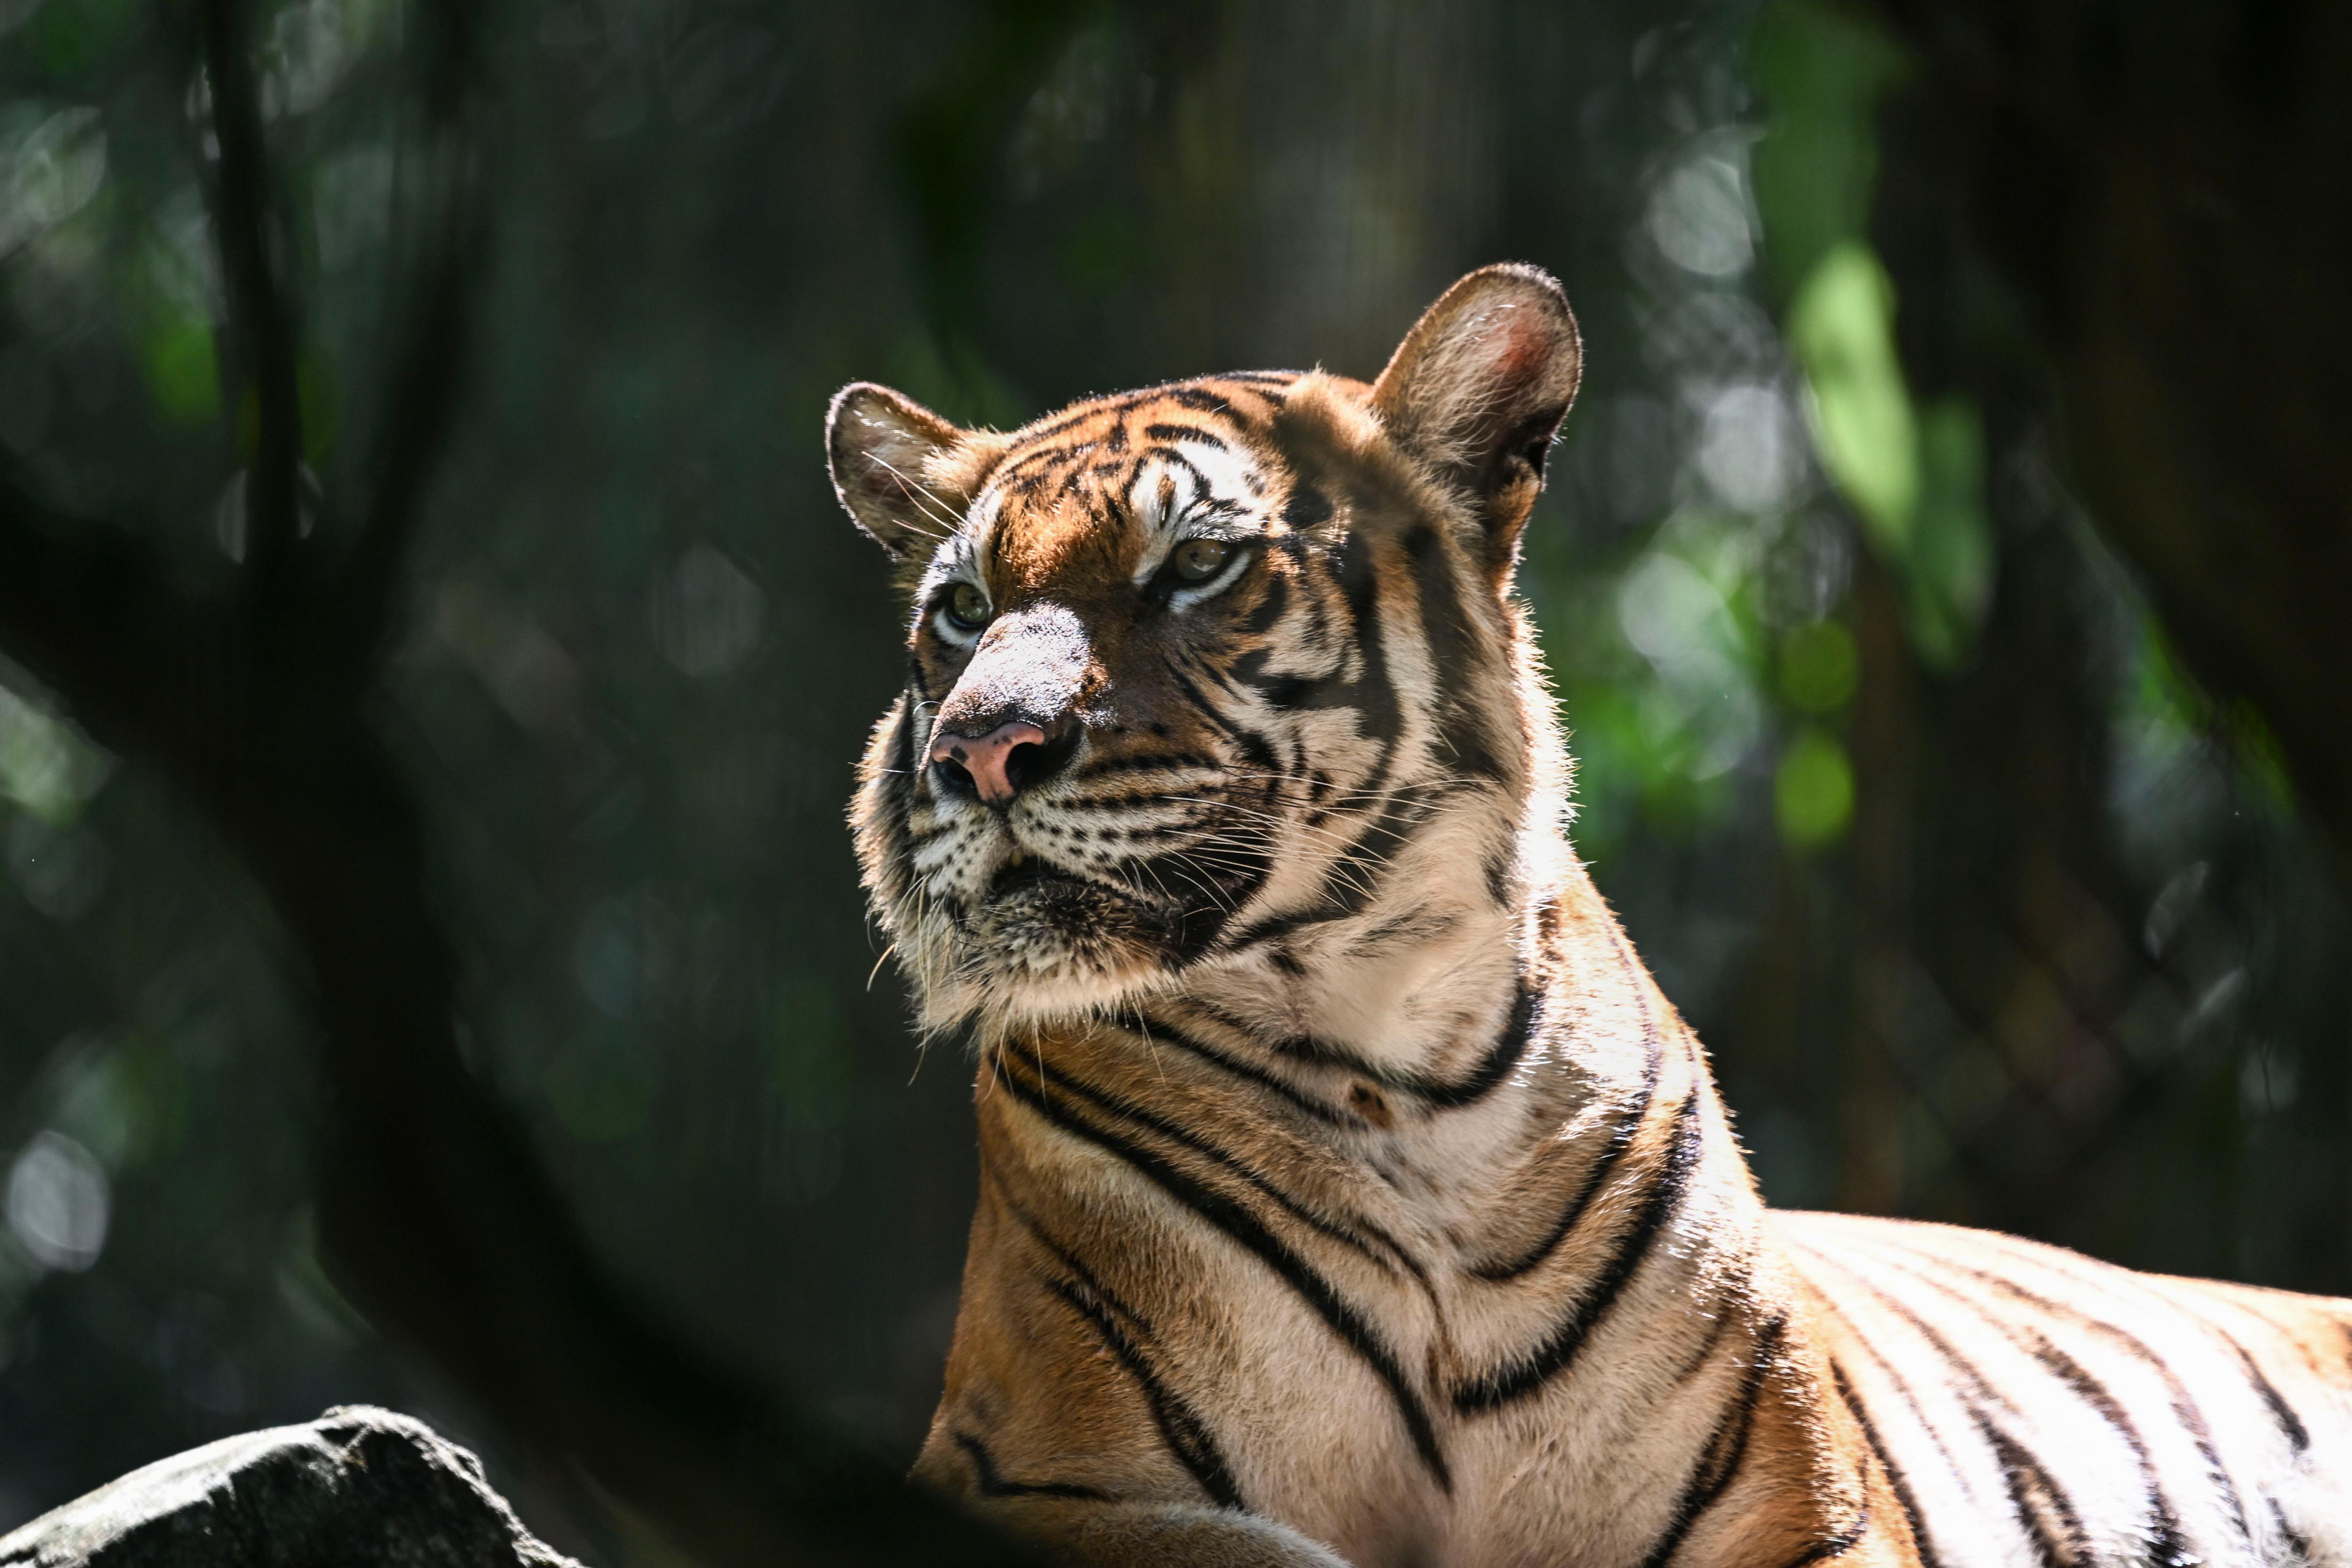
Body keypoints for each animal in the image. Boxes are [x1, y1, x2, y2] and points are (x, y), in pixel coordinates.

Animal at [823, 270, 2352, 1568]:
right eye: (962, 608)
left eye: (1195, 568)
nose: (978, 750)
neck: (1382, 1058)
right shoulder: (1033, 1474)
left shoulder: (1803, 1509)